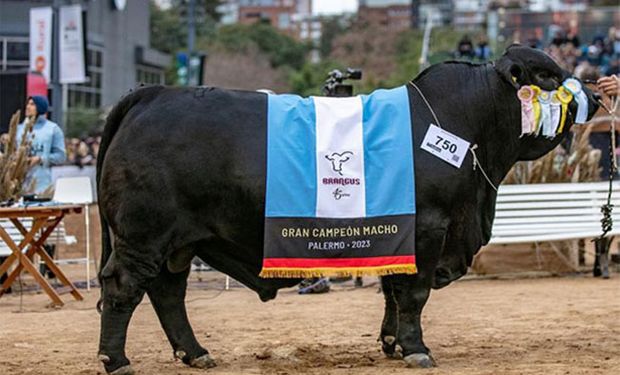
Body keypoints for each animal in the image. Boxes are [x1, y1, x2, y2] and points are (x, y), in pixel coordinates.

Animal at [97, 46, 600, 374]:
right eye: (549, 76)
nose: (594, 95)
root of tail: (153, 94)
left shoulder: (399, 234)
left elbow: (393, 291)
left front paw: (392, 343)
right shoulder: (429, 227)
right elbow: (414, 293)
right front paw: (417, 349)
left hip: (177, 244)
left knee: (167, 293)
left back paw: (196, 352)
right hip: (144, 235)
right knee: (123, 288)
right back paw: (116, 360)